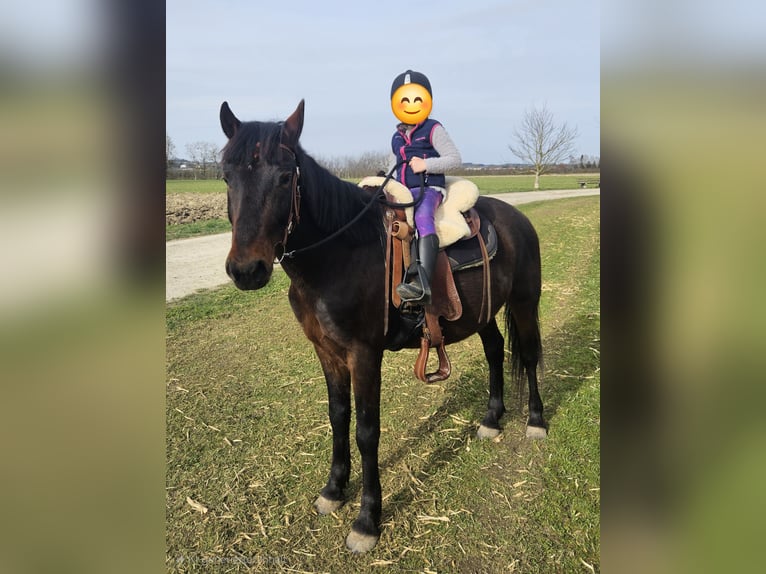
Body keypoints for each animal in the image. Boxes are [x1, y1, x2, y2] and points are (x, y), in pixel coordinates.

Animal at [219, 100, 546, 553]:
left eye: (285, 177)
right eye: (226, 176)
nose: (246, 270)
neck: (340, 253)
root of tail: (517, 218)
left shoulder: (364, 354)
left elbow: (366, 431)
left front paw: (367, 520)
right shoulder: (327, 350)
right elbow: (338, 417)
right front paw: (333, 490)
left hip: (524, 302)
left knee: (529, 355)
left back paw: (535, 421)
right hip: (481, 312)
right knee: (496, 350)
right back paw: (492, 419)